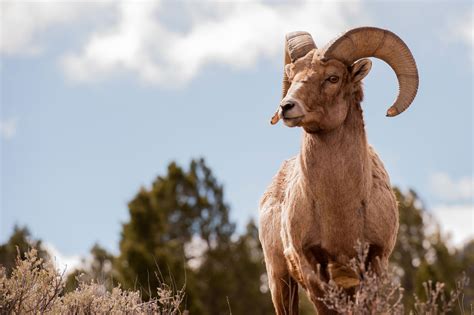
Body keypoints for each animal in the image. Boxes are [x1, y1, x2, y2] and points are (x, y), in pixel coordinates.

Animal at [260, 27, 418, 315]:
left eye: (332, 78)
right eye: (292, 74)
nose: (286, 107)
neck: (340, 212)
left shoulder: (374, 263)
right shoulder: (312, 269)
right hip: (280, 280)